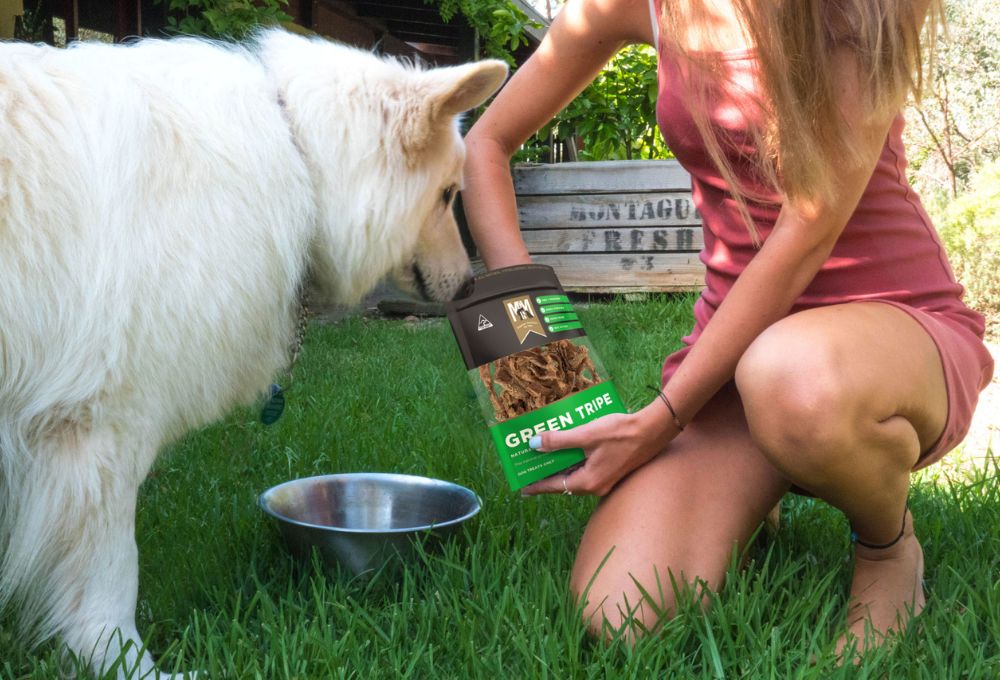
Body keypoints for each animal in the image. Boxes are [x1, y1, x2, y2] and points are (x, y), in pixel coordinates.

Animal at [0, 29, 500, 676]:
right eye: (446, 196)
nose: (467, 286)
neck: (298, 149)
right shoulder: (100, 428)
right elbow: (111, 575)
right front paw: (128, 663)